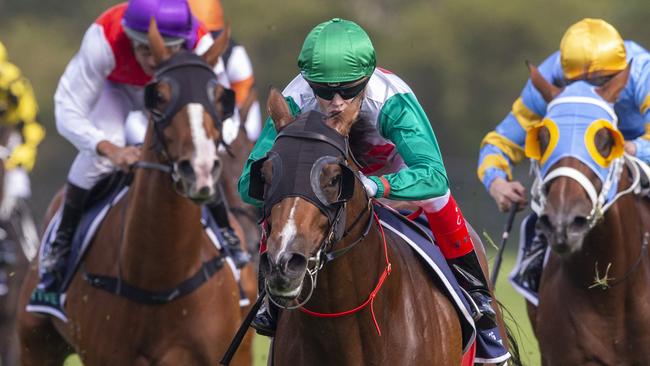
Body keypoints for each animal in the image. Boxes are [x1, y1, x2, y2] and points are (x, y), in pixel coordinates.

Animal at [17, 20, 251, 366]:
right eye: (160, 96)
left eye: (221, 96)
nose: (199, 169)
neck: (161, 280)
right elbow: (69, 104)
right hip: (35, 341)